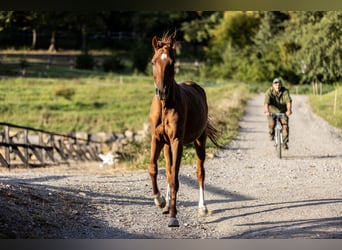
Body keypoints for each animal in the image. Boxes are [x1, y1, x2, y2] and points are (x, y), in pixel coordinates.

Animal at [147, 32, 222, 228]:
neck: (165, 106)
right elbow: (154, 168)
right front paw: (159, 201)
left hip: (199, 140)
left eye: (171, 62)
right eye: (153, 61)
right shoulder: (157, 139)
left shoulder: (177, 141)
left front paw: (173, 216)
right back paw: (166, 204)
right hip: (167, 146)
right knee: (168, 169)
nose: (162, 92)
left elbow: (175, 178)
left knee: (200, 172)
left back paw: (202, 208)